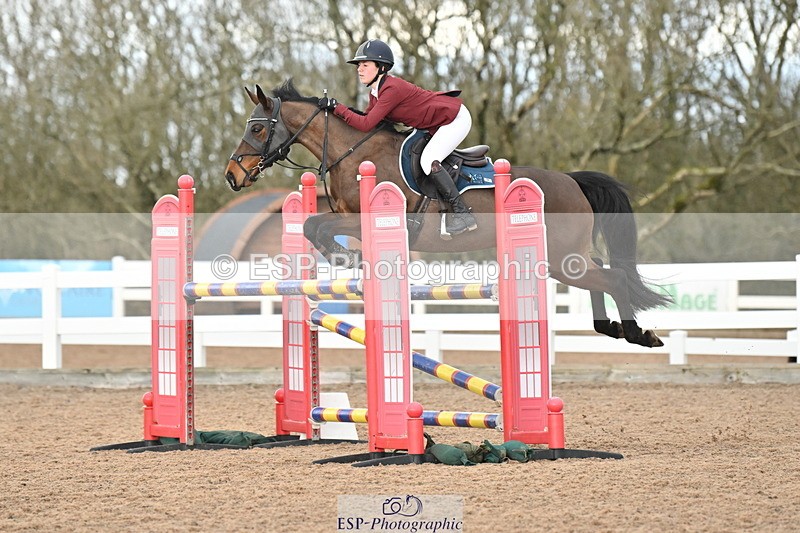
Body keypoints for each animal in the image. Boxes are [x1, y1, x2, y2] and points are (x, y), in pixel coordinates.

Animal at [224, 79, 670, 347]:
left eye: (258, 128)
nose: (231, 176)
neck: (351, 151)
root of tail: (573, 181)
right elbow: (314, 226)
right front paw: (348, 258)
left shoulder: (379, 218)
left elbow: (315, 224)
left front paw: (346, 256)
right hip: (566, 257)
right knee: (600, 276)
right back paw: (611, 328)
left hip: (561, 257)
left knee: (613, 278)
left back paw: (638, 333)